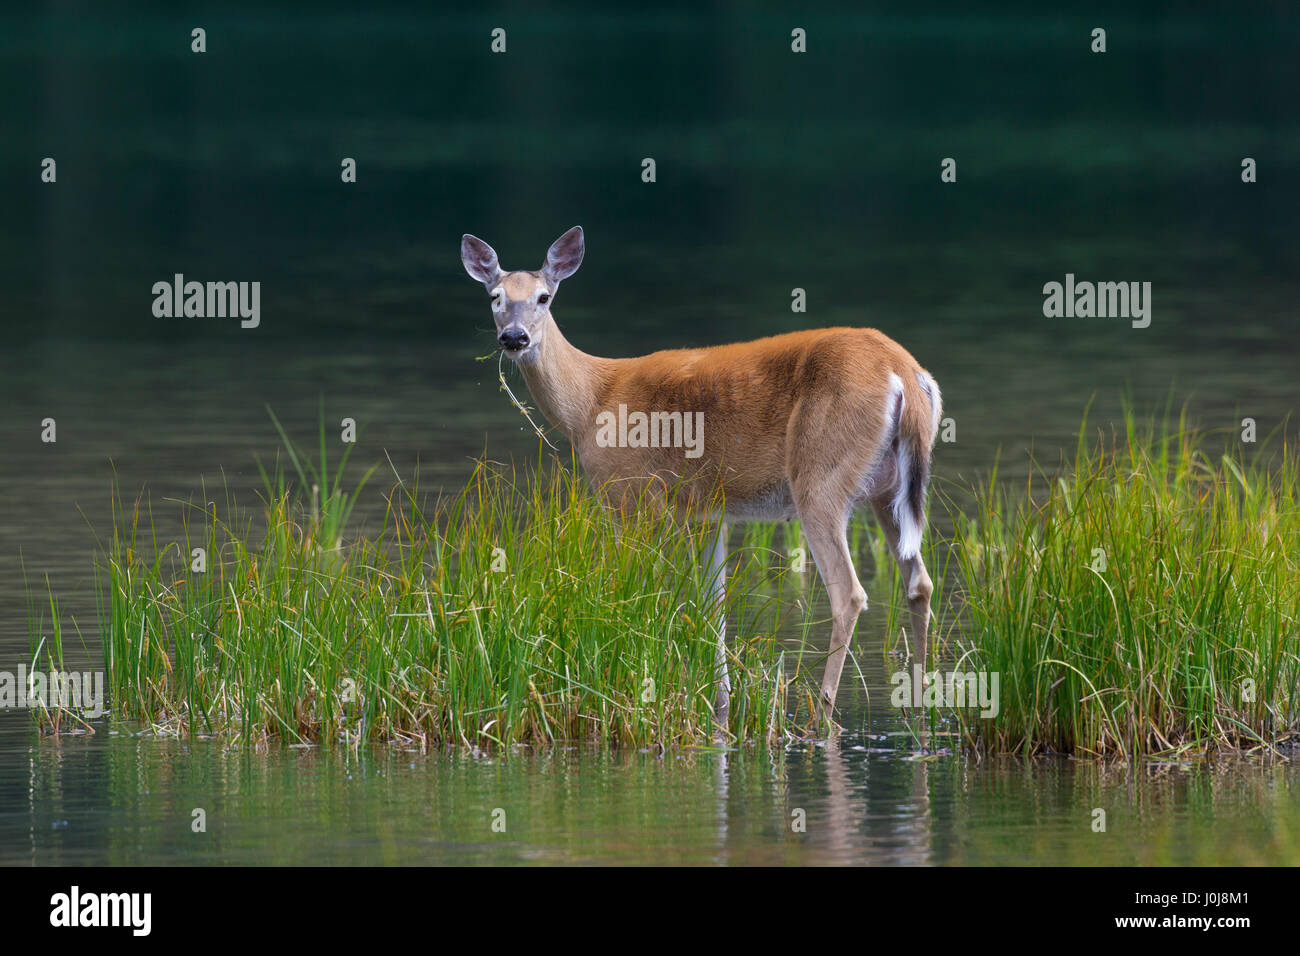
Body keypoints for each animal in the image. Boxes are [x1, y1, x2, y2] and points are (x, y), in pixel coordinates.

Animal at [461, 225, 941, 730]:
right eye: (495, 296)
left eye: (544, 297)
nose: (513, 337)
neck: (590, 403)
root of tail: (905, 372)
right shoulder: (709, 514)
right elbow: (713, 607)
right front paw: (719, 703)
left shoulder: (631, 495)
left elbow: (633, 594)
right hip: (888, 489)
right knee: (919, 584)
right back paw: (920, 707)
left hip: (820, 475)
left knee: (849, 593)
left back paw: (822, 714)